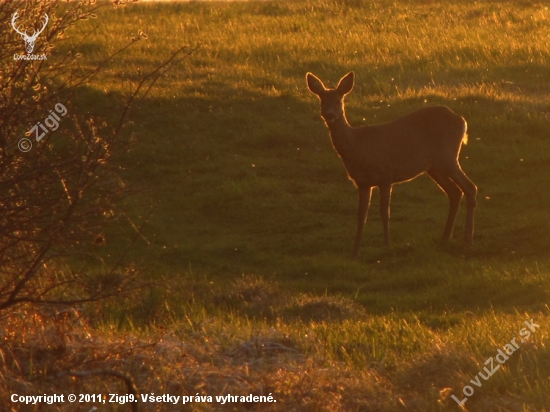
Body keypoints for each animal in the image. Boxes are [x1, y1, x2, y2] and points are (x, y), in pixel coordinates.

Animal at [306, 71, 478, 258]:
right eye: (323, 100)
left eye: (339, 101)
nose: (330, 115)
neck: (357, 146)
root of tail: (462, 121)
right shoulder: (362, 182)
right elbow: (361, 216)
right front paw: (354, 253)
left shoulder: (385, 175)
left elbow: (384, 212)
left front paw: (387, 245)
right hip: (433, 166)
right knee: (454, 192)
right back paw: (445, 238)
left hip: (448, 157)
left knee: (470, 187)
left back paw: (468, 240)